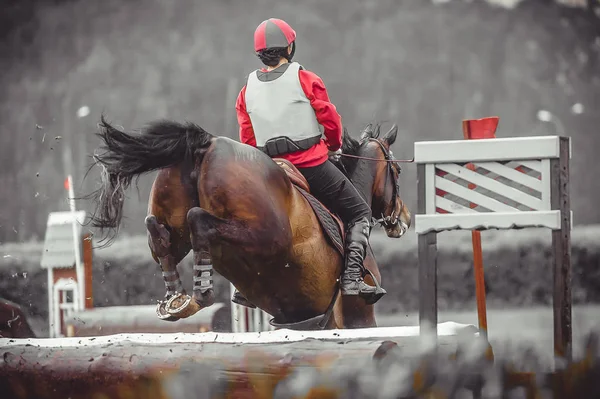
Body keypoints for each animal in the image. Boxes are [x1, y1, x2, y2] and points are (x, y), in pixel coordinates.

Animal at [86, 116, 410, 332]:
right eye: (397, 169)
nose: (404, 219)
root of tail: (206, 144)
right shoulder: (358, 318)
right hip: (264, 236)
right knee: (198, 221)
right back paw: (199, 295)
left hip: (177, 224)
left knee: (159, 233)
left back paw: (176, 299)